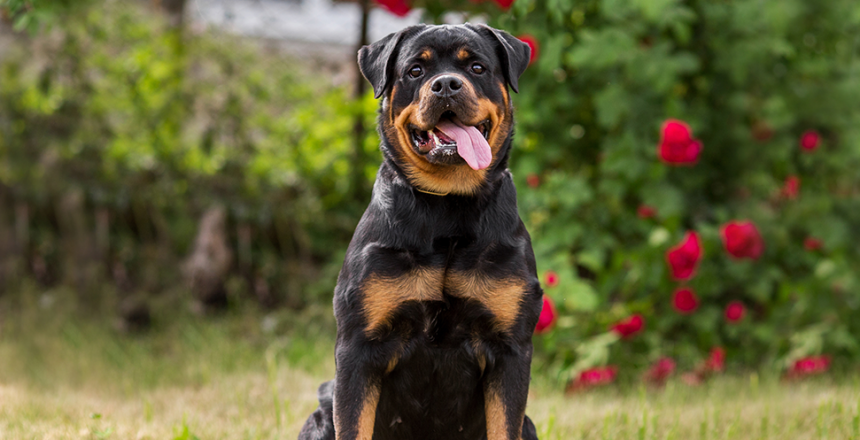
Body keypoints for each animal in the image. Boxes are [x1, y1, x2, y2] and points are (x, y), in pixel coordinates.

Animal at [300, 23, 544, 440]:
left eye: (476, 67)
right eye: (415, 71)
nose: (446, 84)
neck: (448, 209)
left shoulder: (511, 347)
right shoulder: (358, 347)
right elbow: (353, 424)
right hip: (320, 415)